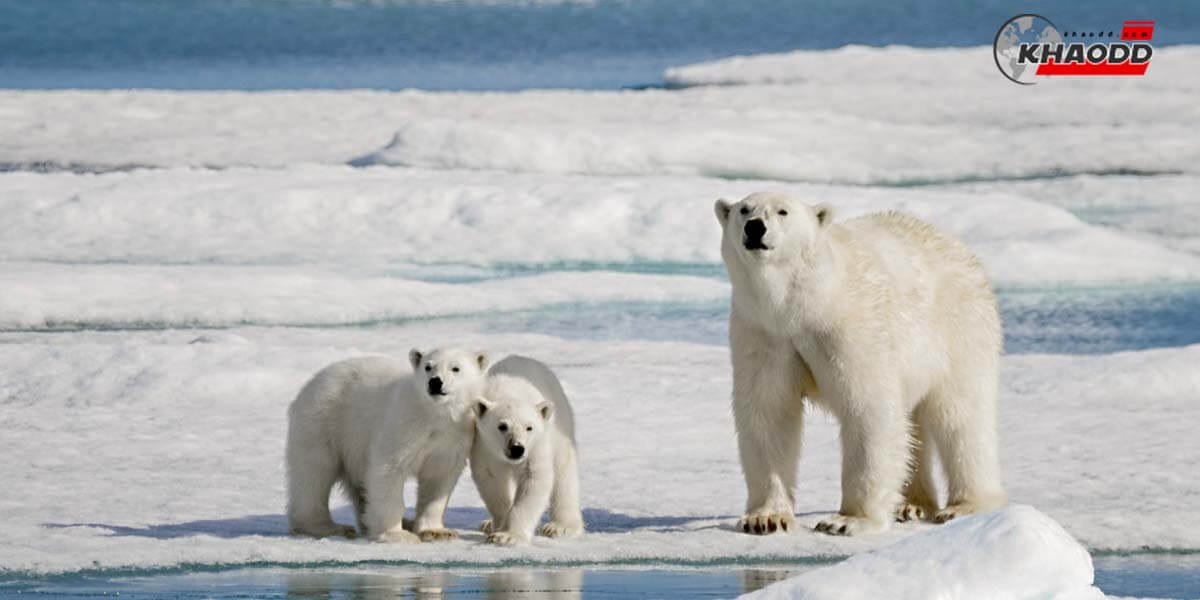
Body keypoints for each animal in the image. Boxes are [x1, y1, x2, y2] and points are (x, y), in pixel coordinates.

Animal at [285, 350, 487, 542]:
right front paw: (396, 534)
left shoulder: (452, 437)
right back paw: (328, 526)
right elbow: (389, 469)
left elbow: (438, 478)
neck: (435, 415)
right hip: (324, 421)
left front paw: (436, 532)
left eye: (455, 368)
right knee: (314, 472)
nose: (435, 382)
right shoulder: (404, 424)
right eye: (428, 367)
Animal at [468, 352, 585, 547]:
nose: (517, 449)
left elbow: (534, 479)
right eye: (502, 426)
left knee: (564, 471)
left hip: (560, 425)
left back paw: (561, 526)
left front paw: (508, 536)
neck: (508, 391)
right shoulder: (483, 445)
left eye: (529, 427)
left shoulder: (536, 445)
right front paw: (499, 527)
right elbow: (492, 481)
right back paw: (487, 524)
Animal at [715, 193, 1008, 540]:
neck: (804, 302)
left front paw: (846, 521)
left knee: (961, 416)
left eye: (782, 211)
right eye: (743, 209)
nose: (755, 227)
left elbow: (868, 409)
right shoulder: (764, 334)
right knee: (915, 423)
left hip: (960, 328)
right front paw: (765, 519)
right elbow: (768, 413)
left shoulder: (849, 326)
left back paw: (964, 506)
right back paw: (910, 504)